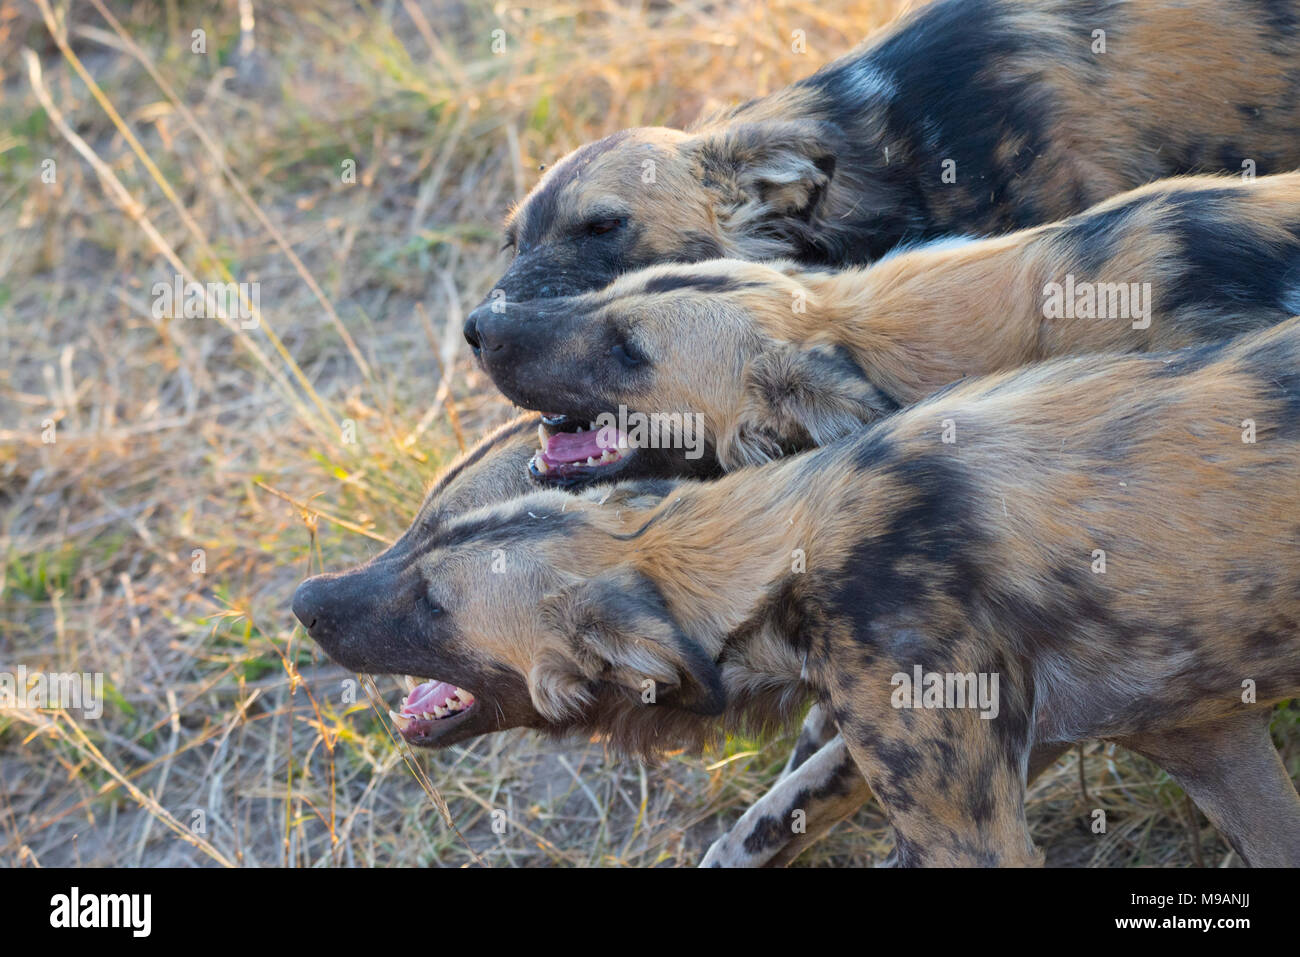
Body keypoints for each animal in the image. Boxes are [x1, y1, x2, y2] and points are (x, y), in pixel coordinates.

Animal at [295, 317, 1300, 863]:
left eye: (433, 600)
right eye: (422, 536)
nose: (303, 600)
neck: (791, 555)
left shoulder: (973, 833)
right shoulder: (1199, 736)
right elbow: (758, 826)